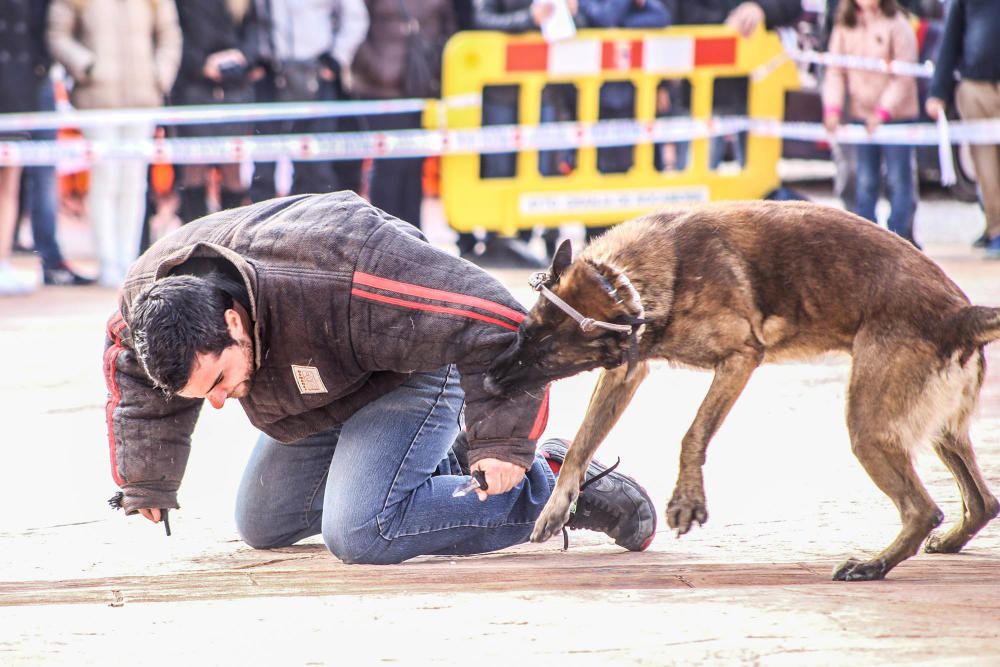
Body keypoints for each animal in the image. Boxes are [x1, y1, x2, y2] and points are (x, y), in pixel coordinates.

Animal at [484, 201, 1000, 580]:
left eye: (548, 356)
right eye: (525, 333)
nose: (488, 379)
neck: (623, 282)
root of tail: (963, 313)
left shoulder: (738, 360)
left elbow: (692, 434)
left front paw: (687, 500)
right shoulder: (627, 373)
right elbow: (581, 444)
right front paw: (555, 508)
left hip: (868, 429)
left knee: (923, 509)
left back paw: (873, 565)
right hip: (937, 431)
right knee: (982, 502)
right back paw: (946, 541)